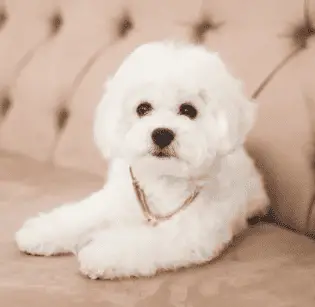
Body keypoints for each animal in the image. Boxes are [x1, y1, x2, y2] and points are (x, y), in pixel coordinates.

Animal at [15, 41, 270, 282]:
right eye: (143, 108)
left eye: (189, 110)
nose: (162, 134)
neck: (163, 178)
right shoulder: (116, 200)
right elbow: (82, 216)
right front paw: (40, 233)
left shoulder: (187, 233)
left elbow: (141, 242)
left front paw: (100, 253)